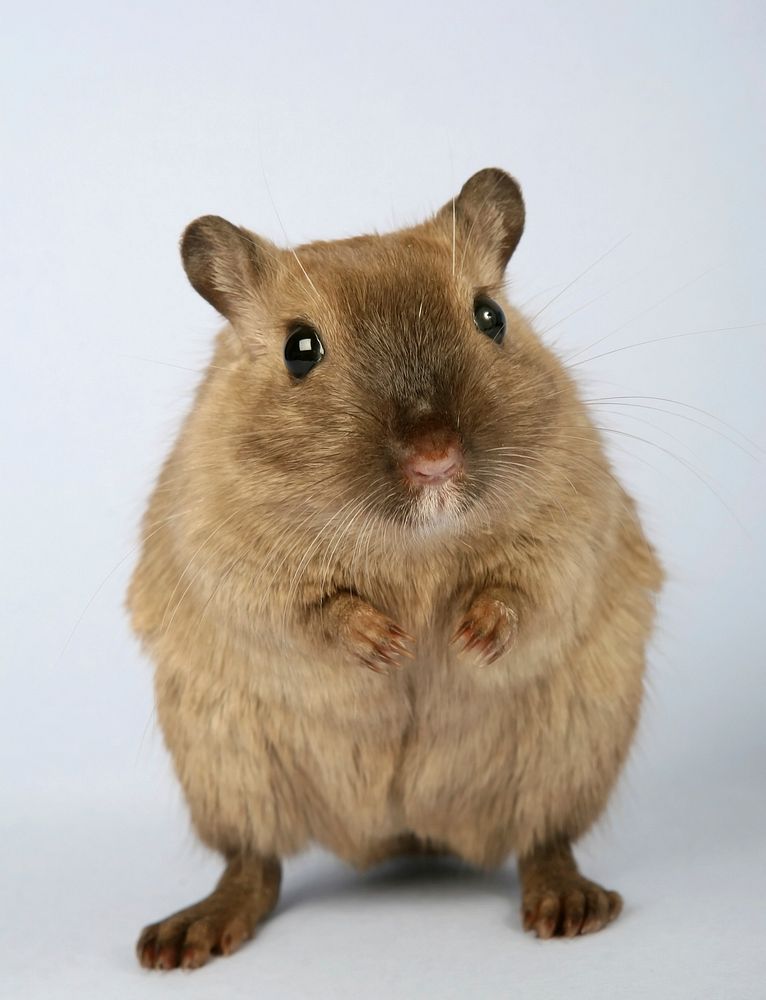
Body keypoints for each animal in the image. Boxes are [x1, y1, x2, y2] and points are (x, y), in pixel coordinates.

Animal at [129, 170, 664, 968]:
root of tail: (404, 830)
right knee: (254, 861)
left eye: (490, 316)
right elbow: (305, 611)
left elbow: (527, 587)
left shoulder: (573, 521)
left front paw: (470, 637)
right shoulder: (228, 556)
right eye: (299, 349)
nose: (435, 458)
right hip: (228, 769)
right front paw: (387, 645)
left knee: (544, 839)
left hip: (570, 752)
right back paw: (185, 937)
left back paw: (569, 904)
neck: (413, 541)